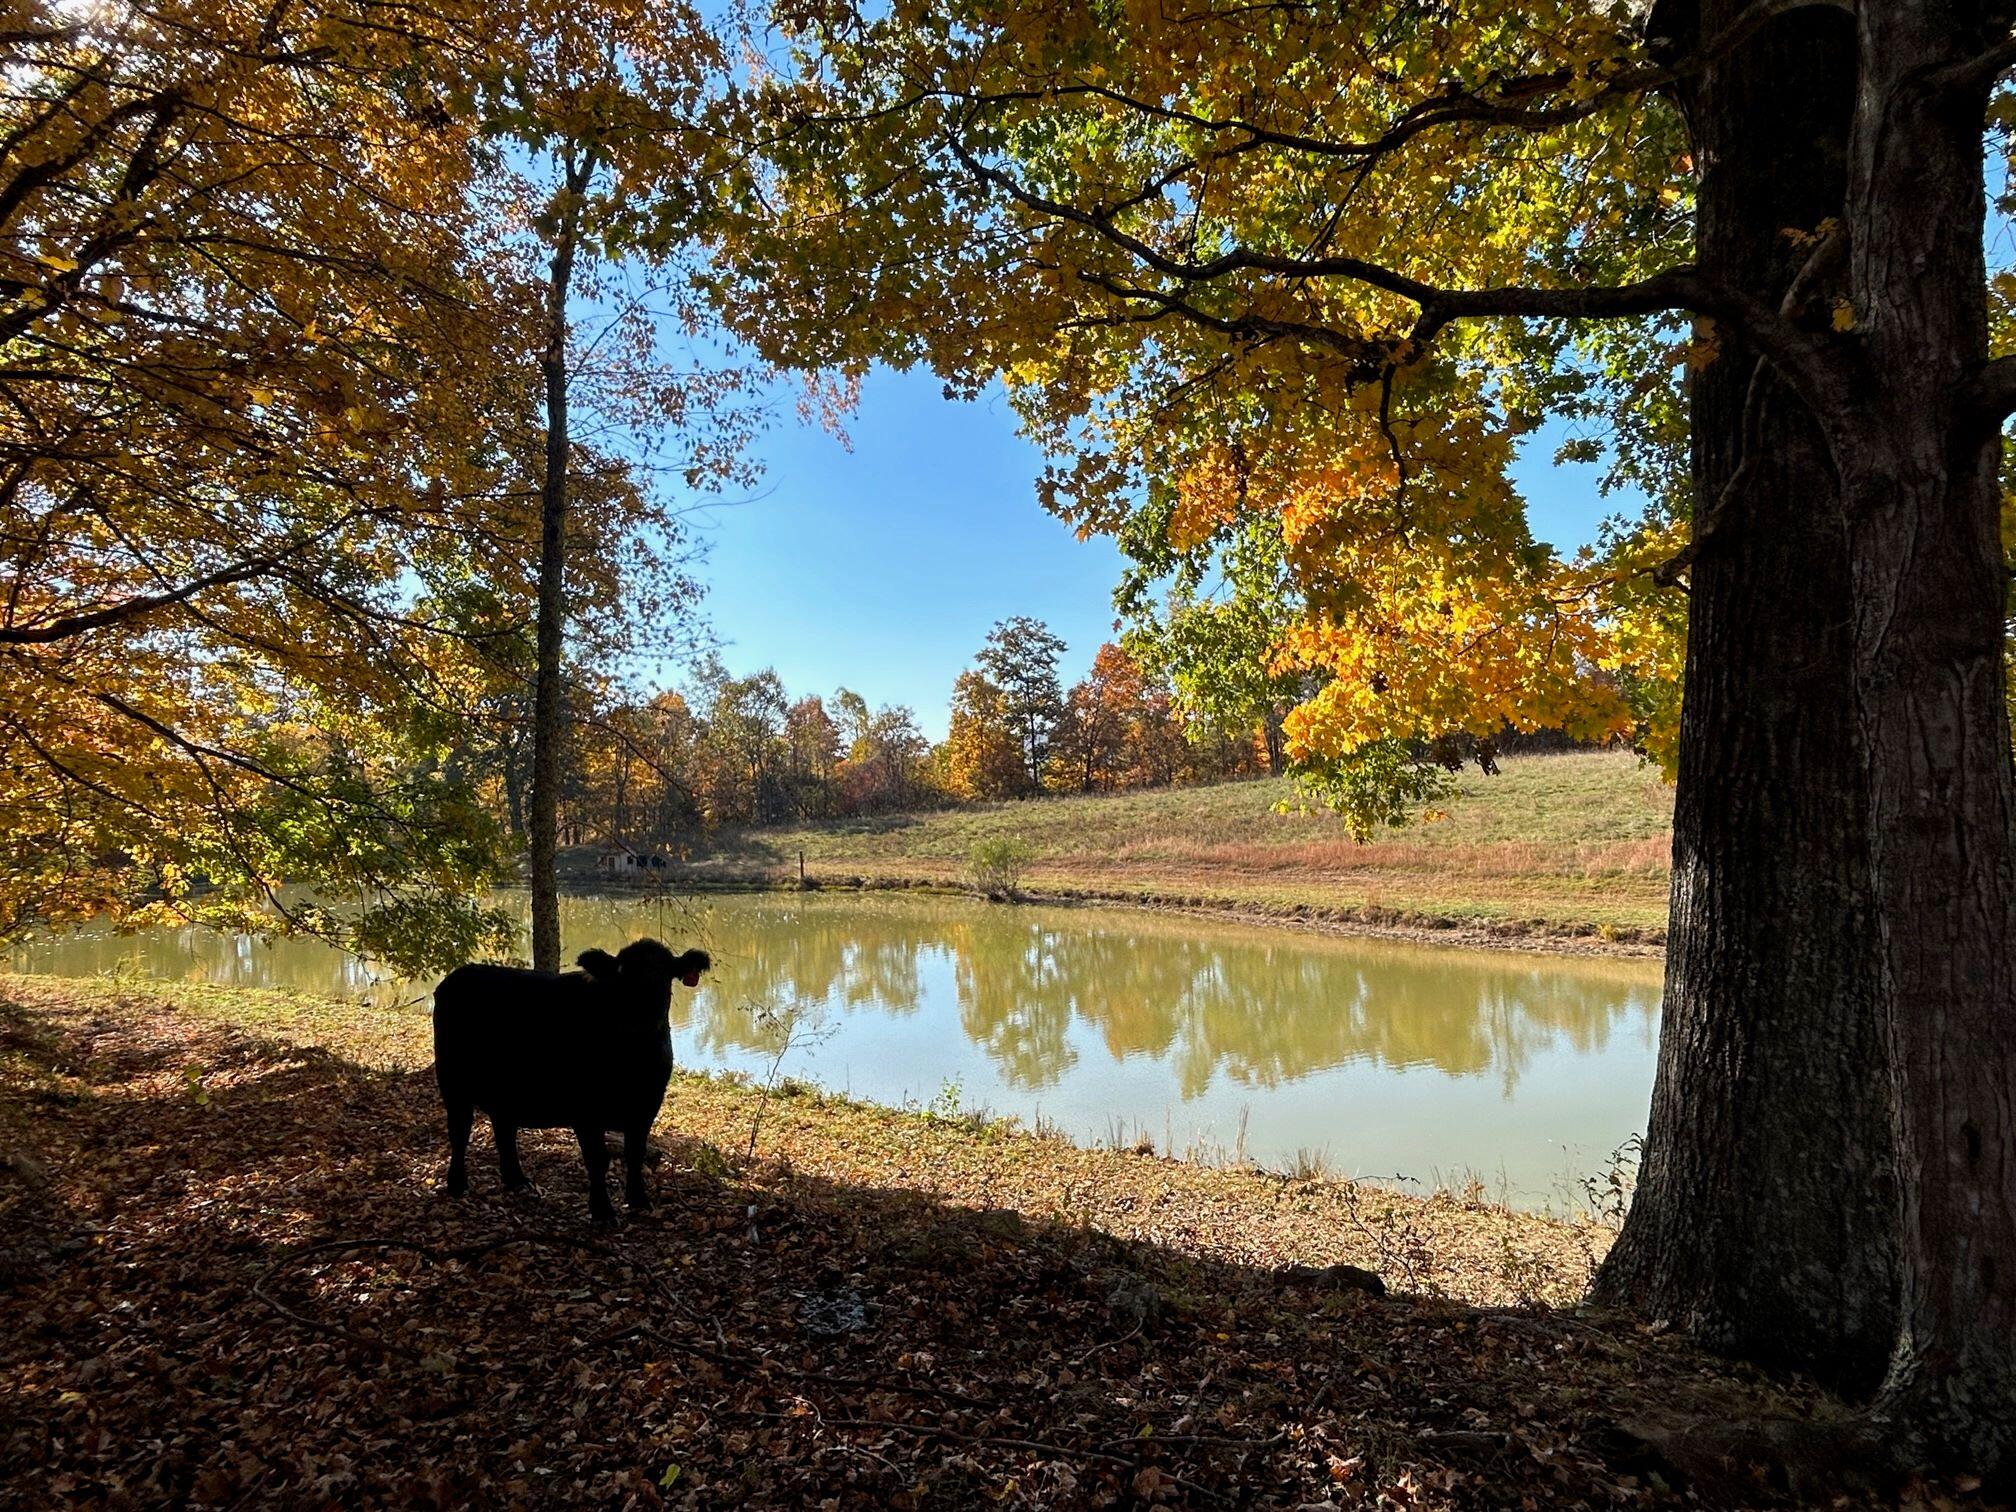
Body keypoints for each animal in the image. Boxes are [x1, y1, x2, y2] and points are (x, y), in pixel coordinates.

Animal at [431, 943, 709, 1225]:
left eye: (665, 975)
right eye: (621, 974)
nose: (640, 1020)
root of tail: (461, 974)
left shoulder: (646, 1107)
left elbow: (635, 1153)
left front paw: (638, 1200)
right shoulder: (585, 1111)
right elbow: (597, 1159)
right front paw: (602, 1211)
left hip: (503, 1090)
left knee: (504, 1128)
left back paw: (516, 1179)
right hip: (452, 1082)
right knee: (460, 1130)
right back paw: (457, 1184)